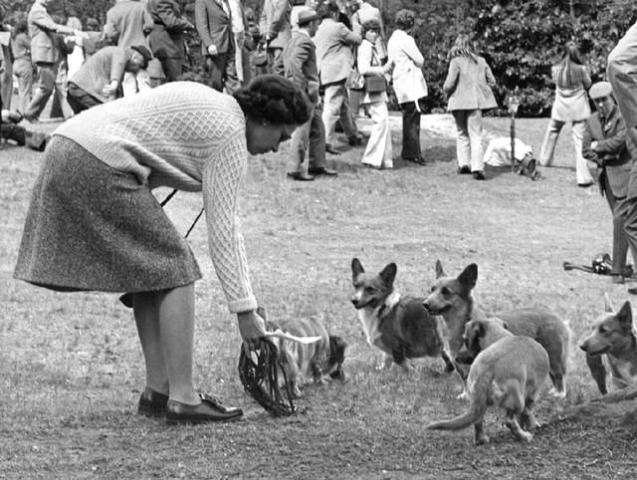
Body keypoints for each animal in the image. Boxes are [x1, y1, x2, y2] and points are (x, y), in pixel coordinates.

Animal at [424, 316, 548, 444]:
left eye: (465, 340)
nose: (455, 358)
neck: (501, 336)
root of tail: (485, 371)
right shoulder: (533, 392)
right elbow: (528, 412)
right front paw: (532, 425)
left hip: (479, 403)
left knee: (478, 421)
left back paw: (482, 439)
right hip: (518, 401)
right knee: (509, 421)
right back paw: (524, 436)